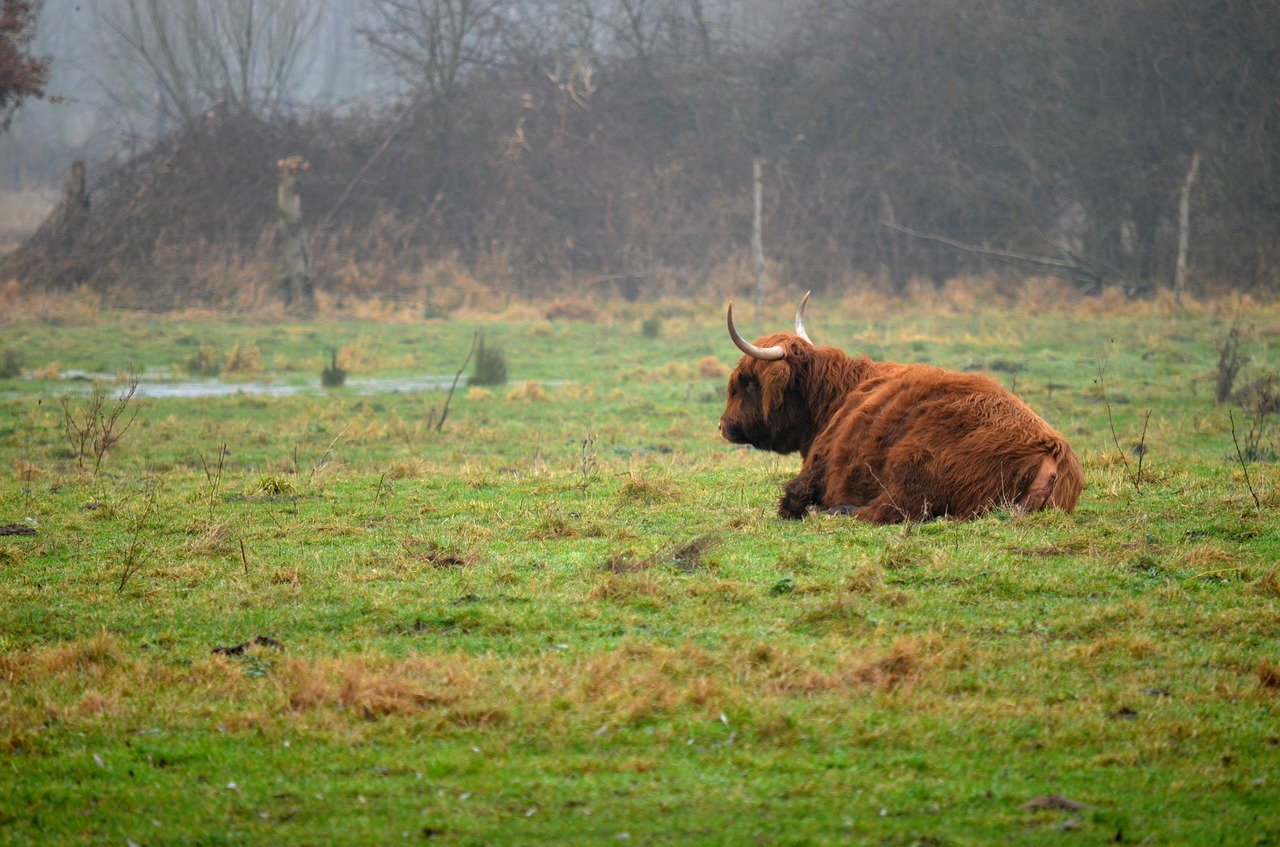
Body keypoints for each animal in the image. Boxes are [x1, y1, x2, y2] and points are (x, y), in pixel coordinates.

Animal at [721, 296, 1080, 524]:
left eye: (749, 382)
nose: (723, 425)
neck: (836, 397)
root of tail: (1051, 450)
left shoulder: (815, 469)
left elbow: (790, 499)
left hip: (913, 468)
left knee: (888, 511)